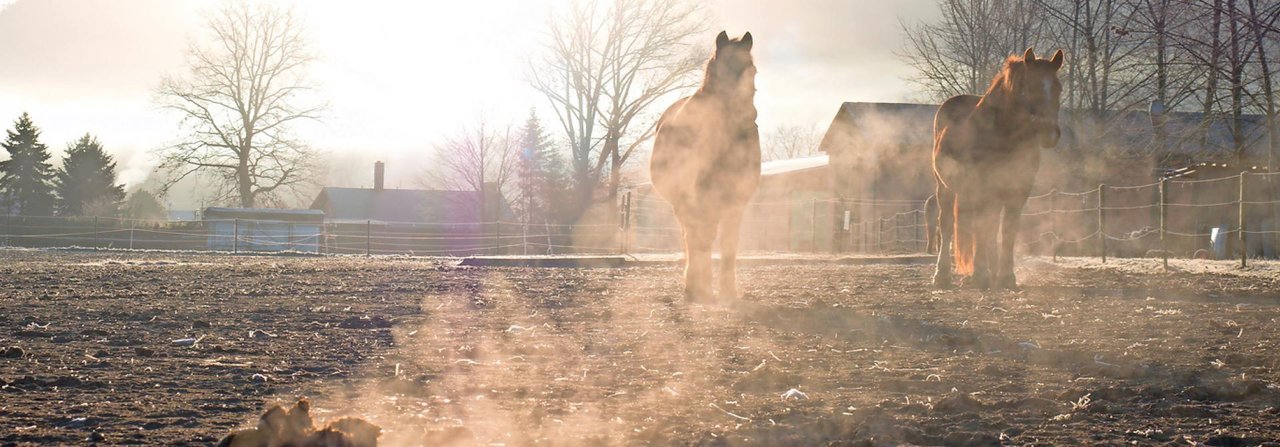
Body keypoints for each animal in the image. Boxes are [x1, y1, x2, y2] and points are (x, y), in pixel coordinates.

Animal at [650, 31, 757, 299]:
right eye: (721, 72)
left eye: (752, 70)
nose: (748, 119)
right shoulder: (697, 198)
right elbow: (701, 240)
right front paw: (700, 287)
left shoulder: (735, 202)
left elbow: (729, 244)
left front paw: (728, 291)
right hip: (682, 202)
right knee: (692, 236)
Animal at [936, 48, 1064, 289]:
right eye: (1030, 86)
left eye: (1058, 88)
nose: (1049, 134)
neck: (1003, 134)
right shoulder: (981, 189)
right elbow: (980, 229)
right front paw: (980, 274)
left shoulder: (1017, 191)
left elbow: (1006, 231)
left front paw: (1005, 276)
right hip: (945, 189)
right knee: (947, 224)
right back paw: (942, 275)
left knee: (990, 226)